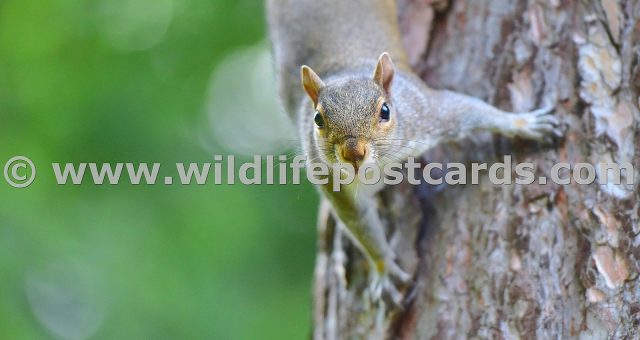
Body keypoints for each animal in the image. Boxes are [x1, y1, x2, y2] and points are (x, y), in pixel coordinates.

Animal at [264, 0, 560, 302]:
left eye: (385, 111)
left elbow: (468, 110)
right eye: (317, 119)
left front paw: (524, 124)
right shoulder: (333, 183)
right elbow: (360, 224)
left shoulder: (426, 112)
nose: (353, 153)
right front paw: (384, 270)